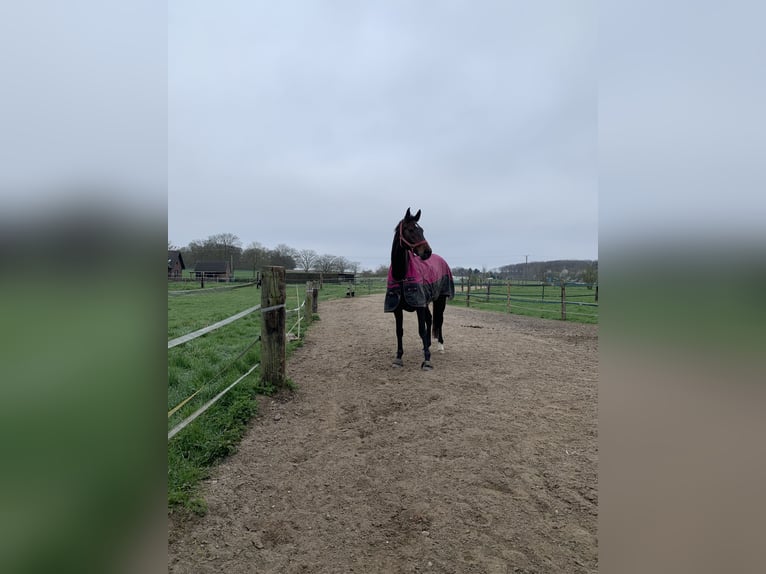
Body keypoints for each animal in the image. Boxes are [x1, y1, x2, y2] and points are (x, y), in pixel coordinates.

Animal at [384, 208, 455, 370]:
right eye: (410, 230)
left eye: (421, 230)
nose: (427, 252)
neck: (401, 275)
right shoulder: (398, 308)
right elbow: (399, 331)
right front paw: (398, 358)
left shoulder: (419, 305)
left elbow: (421, 330)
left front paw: (427, 361)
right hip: (425, 302)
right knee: (430, 319)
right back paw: (426, 345)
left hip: (440, 300)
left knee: (439, 320)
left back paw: (440, 346)